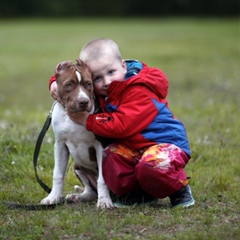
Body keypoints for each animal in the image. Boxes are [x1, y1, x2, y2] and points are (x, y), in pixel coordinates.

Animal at [40, 59, 113, 209]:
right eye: (69, 84)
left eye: (89, 84)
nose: (83, 102)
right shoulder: (60, 144)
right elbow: (58, 174)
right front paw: (53, 197)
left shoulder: (100, 146)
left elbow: (102, 179)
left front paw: (104, 201)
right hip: (78, 166)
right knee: (91, 191)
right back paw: (78, 197)